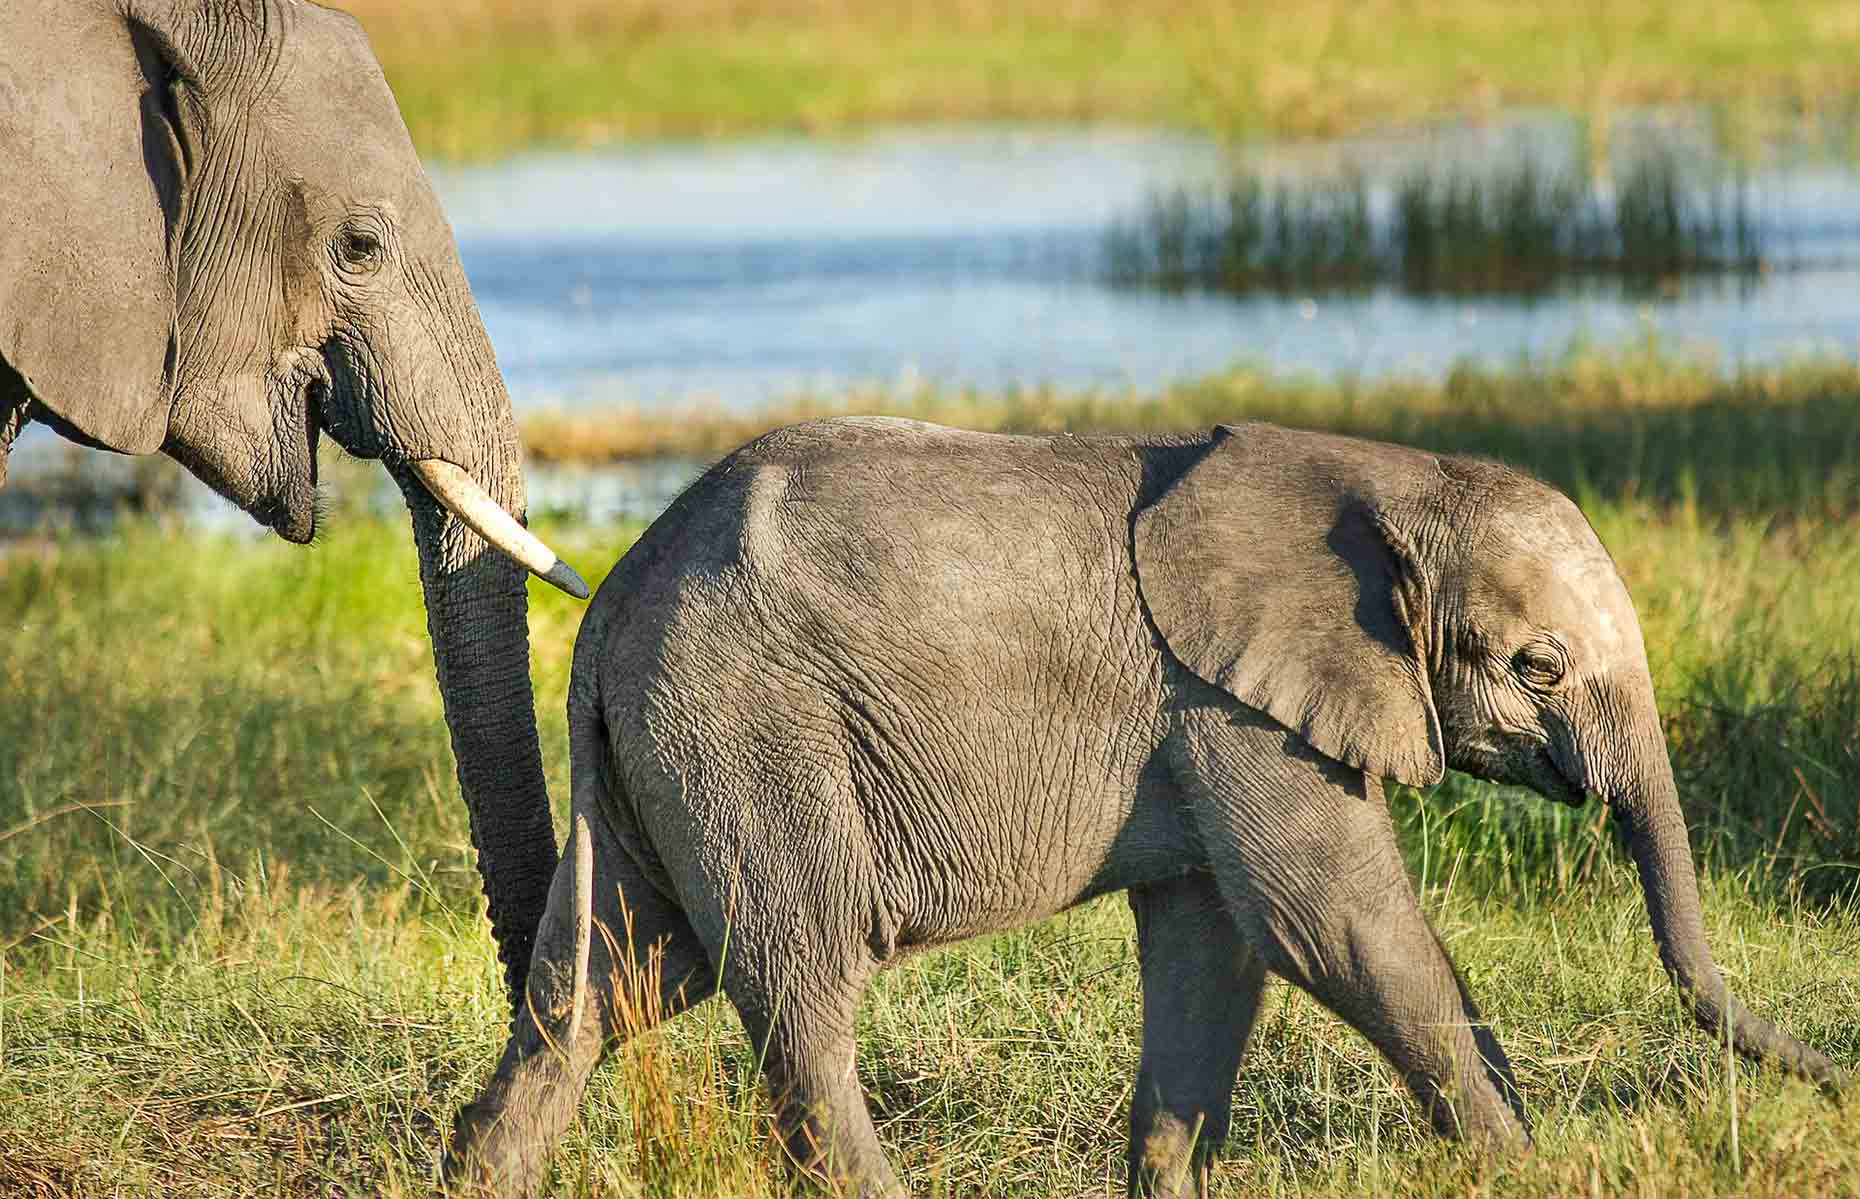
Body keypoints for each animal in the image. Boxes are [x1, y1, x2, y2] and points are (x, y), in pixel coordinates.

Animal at [442, 416, 1837, 1189]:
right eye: (1539, 666)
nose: (1833, 1076)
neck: (1384, 474)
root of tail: (609, 608)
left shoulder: (1213, 718)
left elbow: (1214, 952)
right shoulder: (1230, 700)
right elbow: (1335, 929)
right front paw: (1528, 1169)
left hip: (669, 754)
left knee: (599, 988)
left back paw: (473, 1173)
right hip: (751, 738)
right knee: (799, 989)